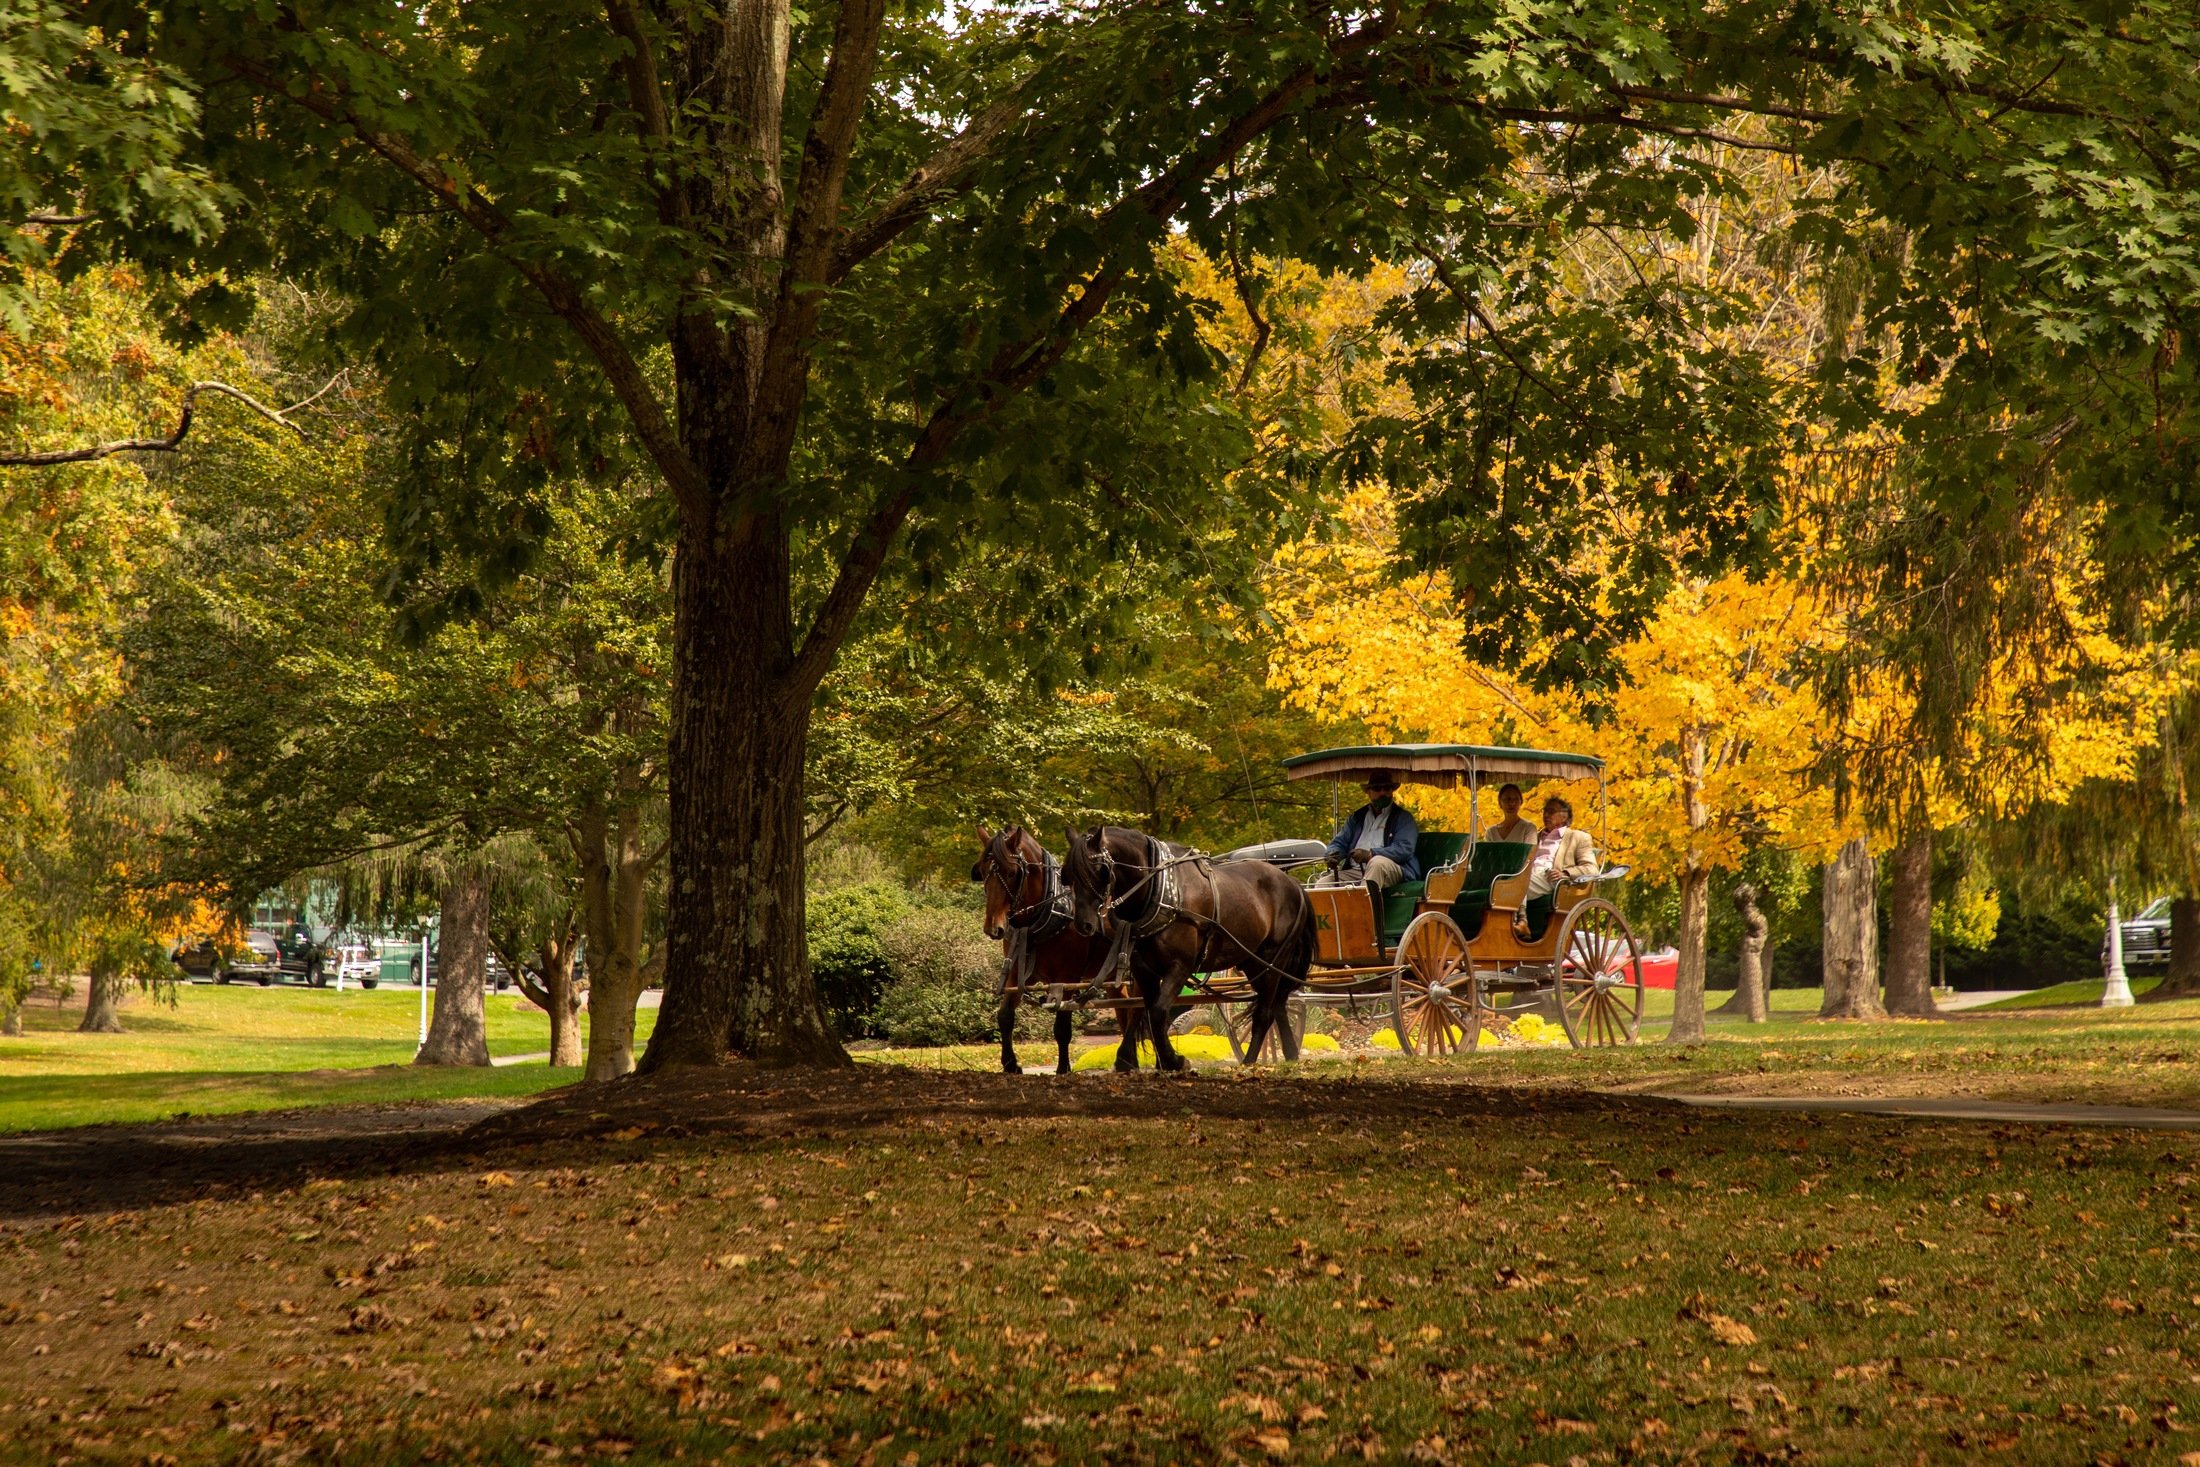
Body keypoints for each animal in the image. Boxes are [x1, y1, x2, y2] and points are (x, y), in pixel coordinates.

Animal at [976, 826, 1126, 1077]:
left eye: (1012, 872)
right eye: (983, 871)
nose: (993, 928)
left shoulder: (1066, 978)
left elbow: (1062, 1025)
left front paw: (1063, 1067)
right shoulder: (1016, 974)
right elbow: (1005, 1016)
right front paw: (1010, 1064)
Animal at [1060, 826, 1311, 1068]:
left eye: (1098, 870)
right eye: (1068, 875)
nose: (1083, 924)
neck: (1160, 890)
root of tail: (1293, 884)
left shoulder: (1180, 966)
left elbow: (1158, 1013)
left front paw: (1174, 1060)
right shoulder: (1144, 969)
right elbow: (1149, 1013)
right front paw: (1160, 1061)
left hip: (1272, 959)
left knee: (1265, 1013)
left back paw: (1249, 1061)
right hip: (1253, 962)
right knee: (1279, 1005)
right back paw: (1290, 1054)